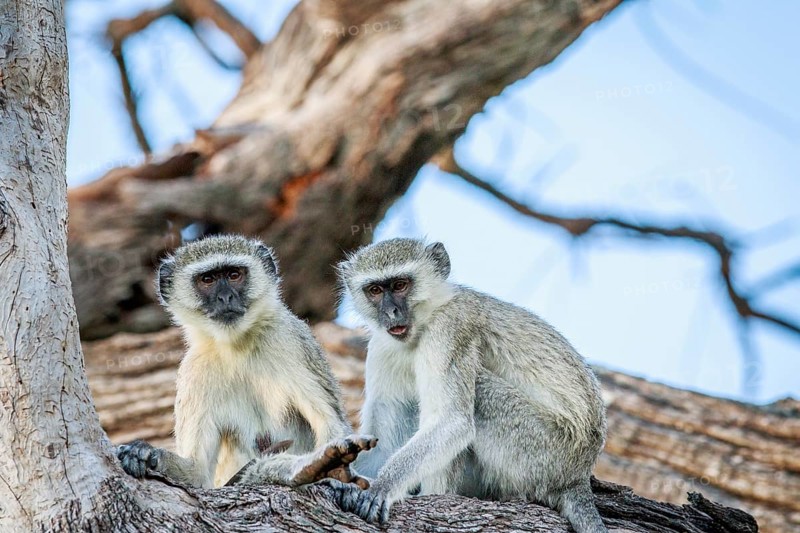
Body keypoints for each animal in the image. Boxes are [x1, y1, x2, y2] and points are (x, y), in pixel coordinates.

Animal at [116, 235, 376, 489]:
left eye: (234, 275)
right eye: (207, 279)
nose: (225, 297)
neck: (237, 348)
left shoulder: (291, 340)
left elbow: (330, 423)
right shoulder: (195, 371)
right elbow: (197, 474)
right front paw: (146, 454)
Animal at [327, 238, 608, 533]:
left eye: (401, 285)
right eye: (375, 290)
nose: (391, 312)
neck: (426, 320)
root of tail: (578, 475)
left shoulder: (450, 328)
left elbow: (453, 422)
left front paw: (383, 486)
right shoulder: (383, 347)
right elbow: (382, 445)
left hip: (543, 452)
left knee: (477, 393)